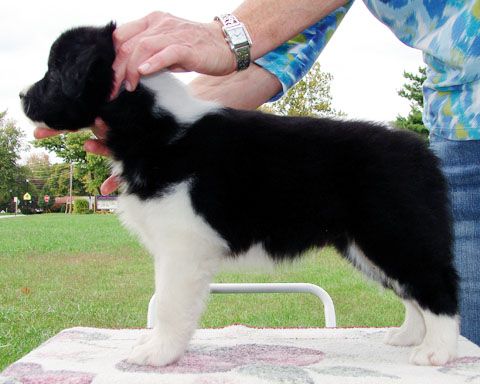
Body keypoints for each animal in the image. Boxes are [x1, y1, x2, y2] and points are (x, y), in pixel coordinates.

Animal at [20, 23, 460, 366]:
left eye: (55, 71)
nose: (23, 97)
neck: (155, 126)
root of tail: (422, 151)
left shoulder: (182, 246)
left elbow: (169, 304)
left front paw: (157, 354)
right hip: (368, 245)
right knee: (411, 290)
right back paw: (409, 335)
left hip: (393, 231)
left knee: (436, 284)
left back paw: (437, 351)